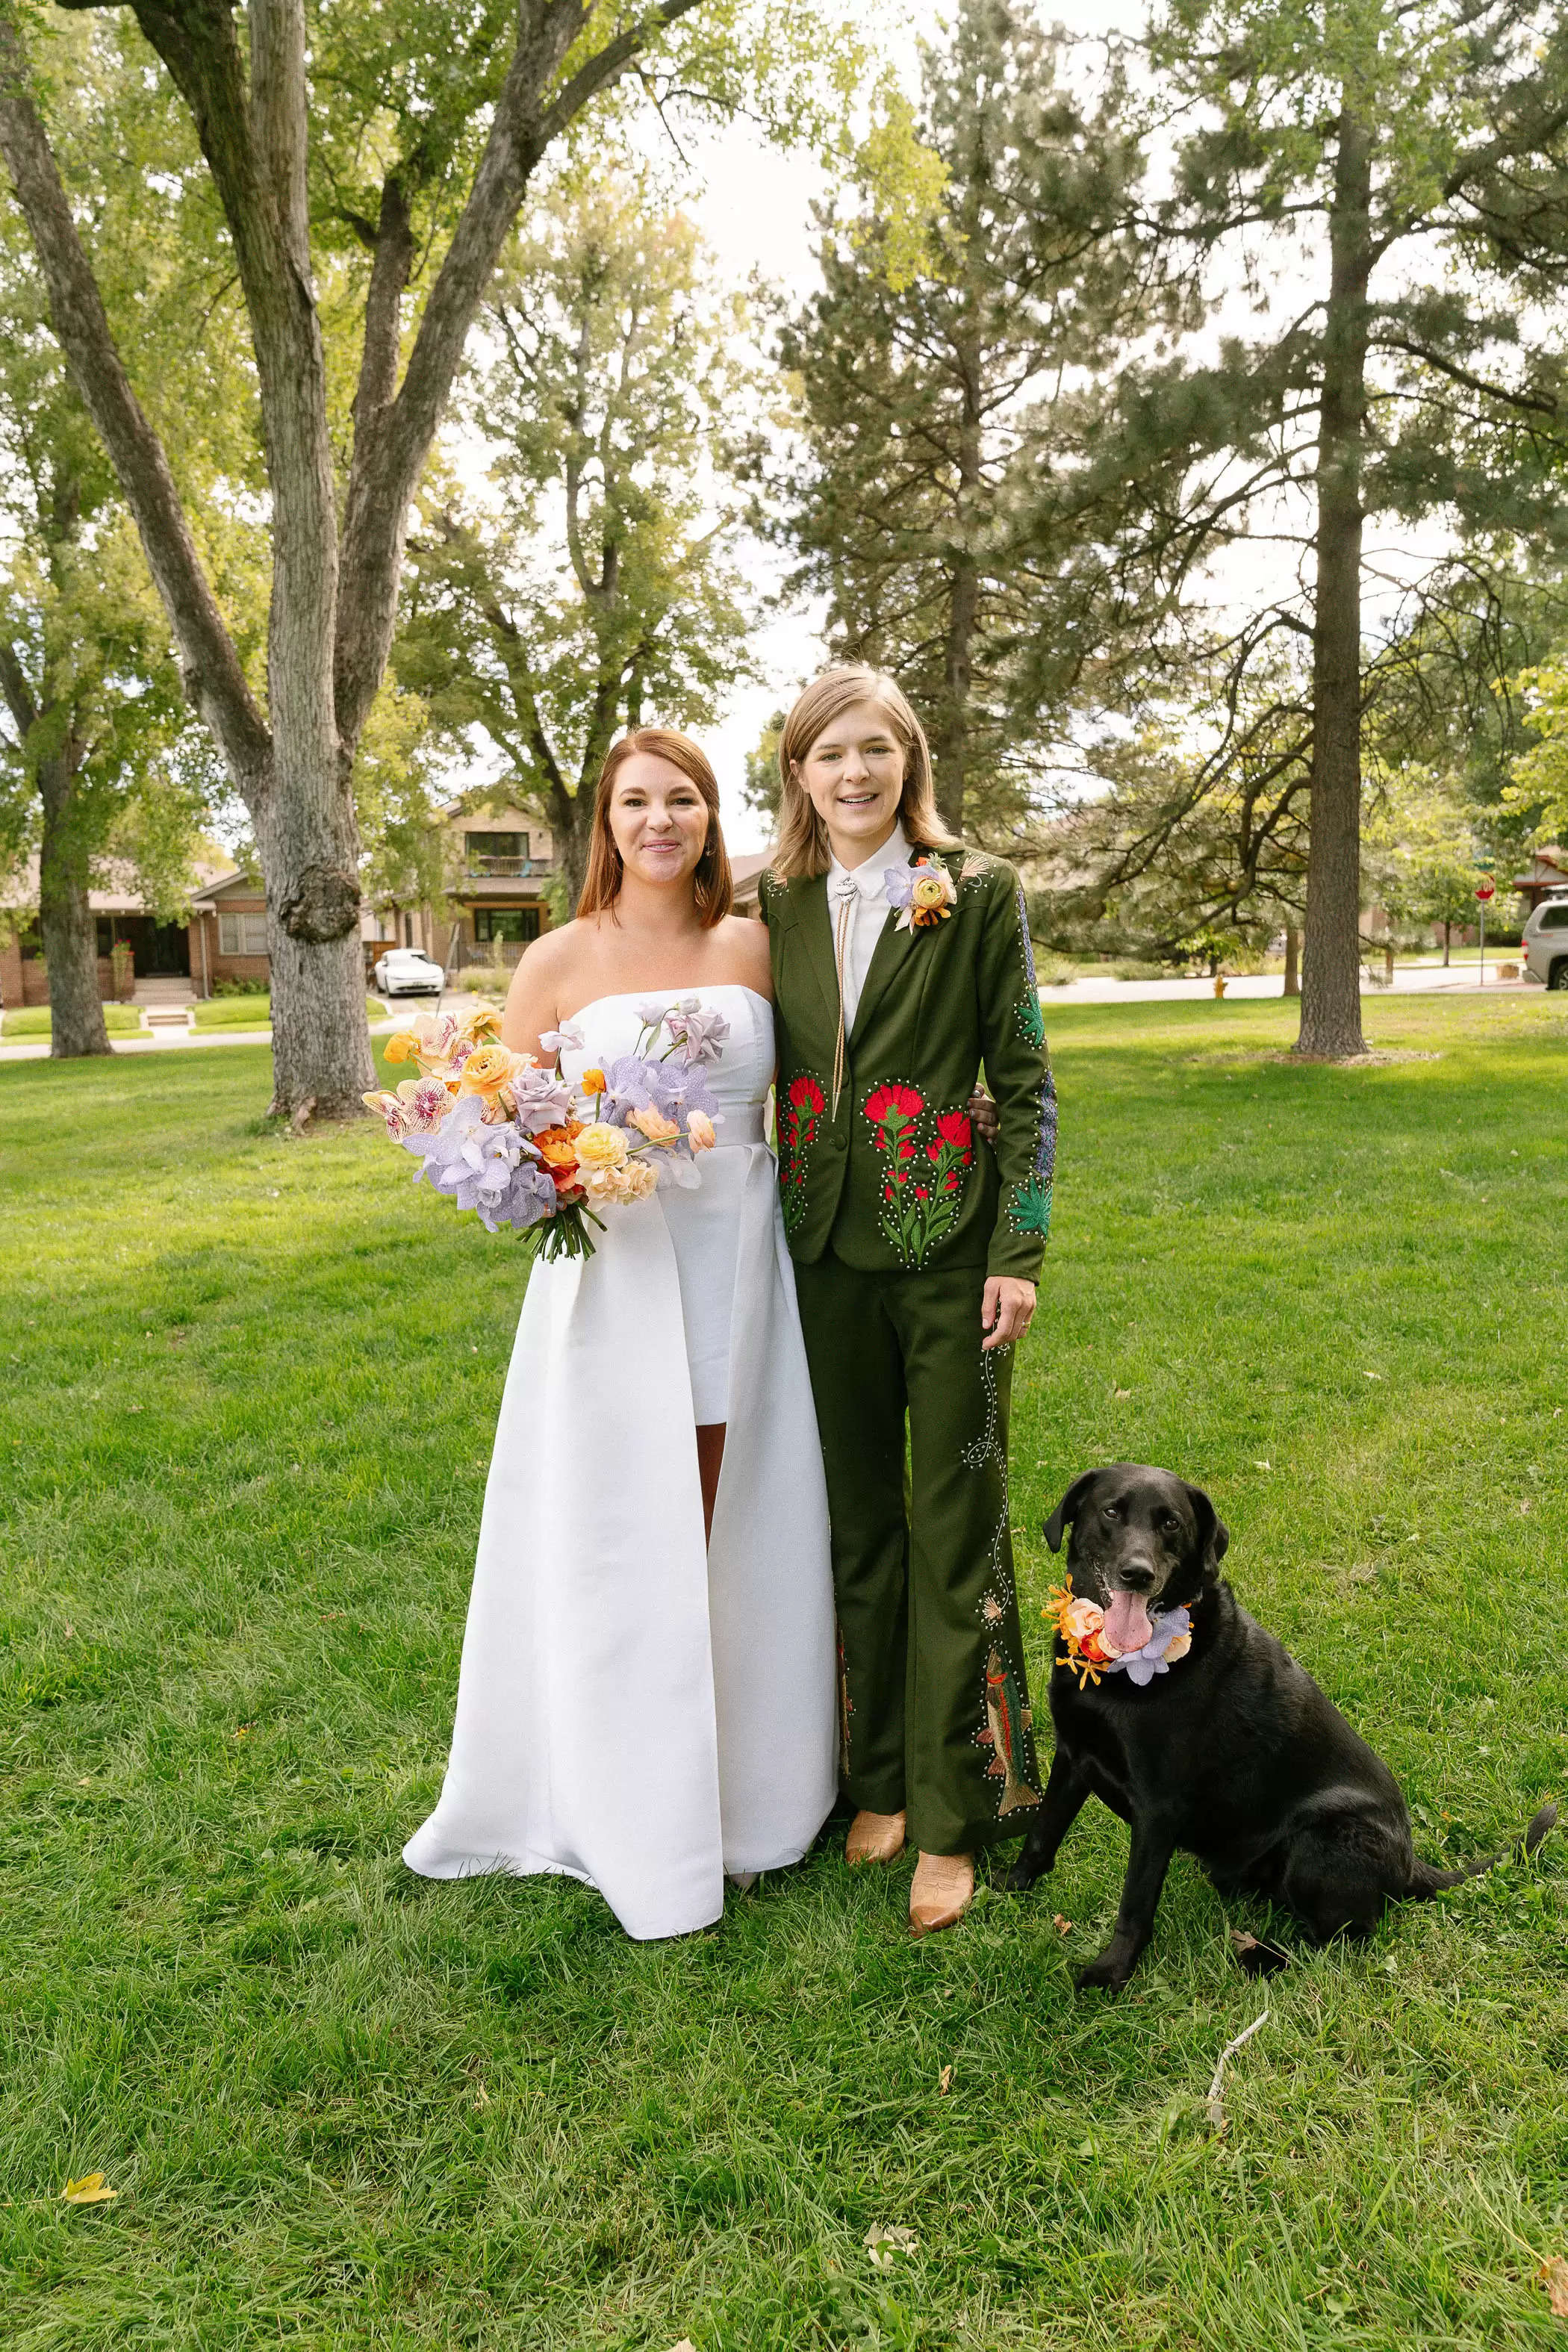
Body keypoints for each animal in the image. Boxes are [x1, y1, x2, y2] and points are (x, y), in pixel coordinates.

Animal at [1006, 1467, 1561, 1985]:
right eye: (1111, 1512)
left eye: (1171, 1523)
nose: (1136, 1574)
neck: (1117, 1670)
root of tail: (1408, 1864)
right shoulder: (1073, 1754)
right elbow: (1043, 1832)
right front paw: (1009, 1886)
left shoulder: (1158, 1805)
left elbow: (1136, 1900)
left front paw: (1112, 1972)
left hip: (1320, 1841)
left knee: (1339, 1940)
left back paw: (1262, 1957)